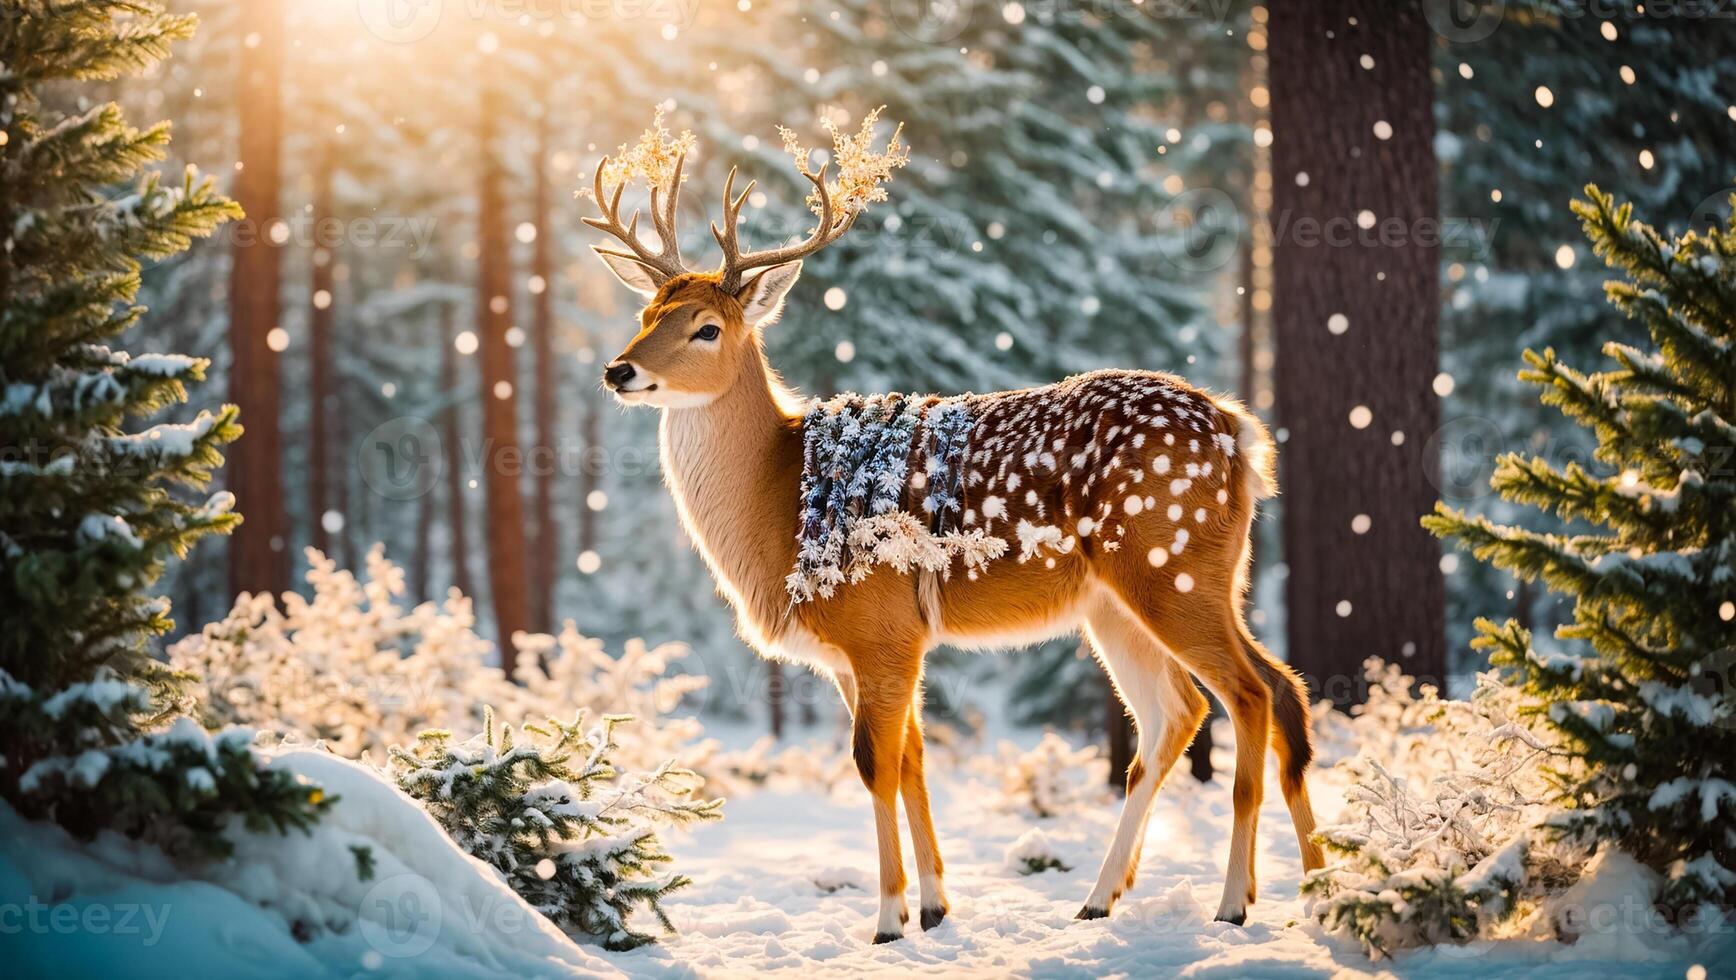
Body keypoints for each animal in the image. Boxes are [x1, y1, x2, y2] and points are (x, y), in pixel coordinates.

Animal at [583, 112, 1326, 936]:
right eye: (646, 315)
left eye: (707, 328)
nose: (619, 370)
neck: (776, 500)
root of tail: (1238, 430)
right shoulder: (858, 651)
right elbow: (911, 758)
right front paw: (936, 907)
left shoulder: (881, 627)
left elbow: (873, 762)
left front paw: (887, 919)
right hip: (1127, 600)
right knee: (1213, 706)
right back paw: (1181, 894)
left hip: (1173, 564)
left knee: (1248, 696)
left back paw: (1232, 903)